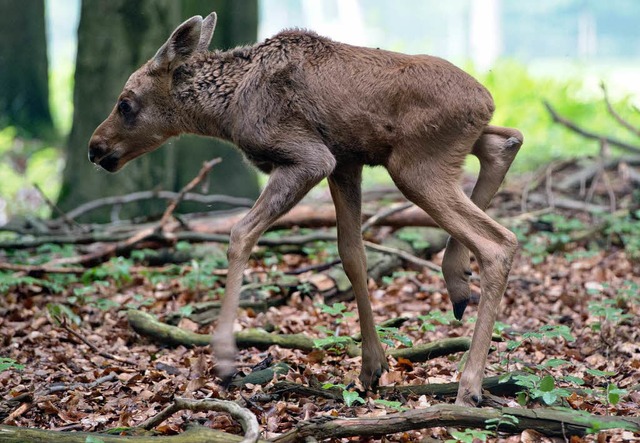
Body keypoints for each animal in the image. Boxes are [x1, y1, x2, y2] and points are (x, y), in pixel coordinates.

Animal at [90, 12, 524, 408]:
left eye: (125, 104)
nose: (95, 147)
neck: (226, 111)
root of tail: (487, 100)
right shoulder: (346, 162)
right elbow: (352, 255)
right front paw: (371, 366)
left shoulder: (310, 158)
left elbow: (240, 233)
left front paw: (227, 361)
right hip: (438, 154)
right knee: (505, 142)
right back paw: (457, 279)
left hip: (414, 166)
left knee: (499, 240)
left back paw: (469, 385)